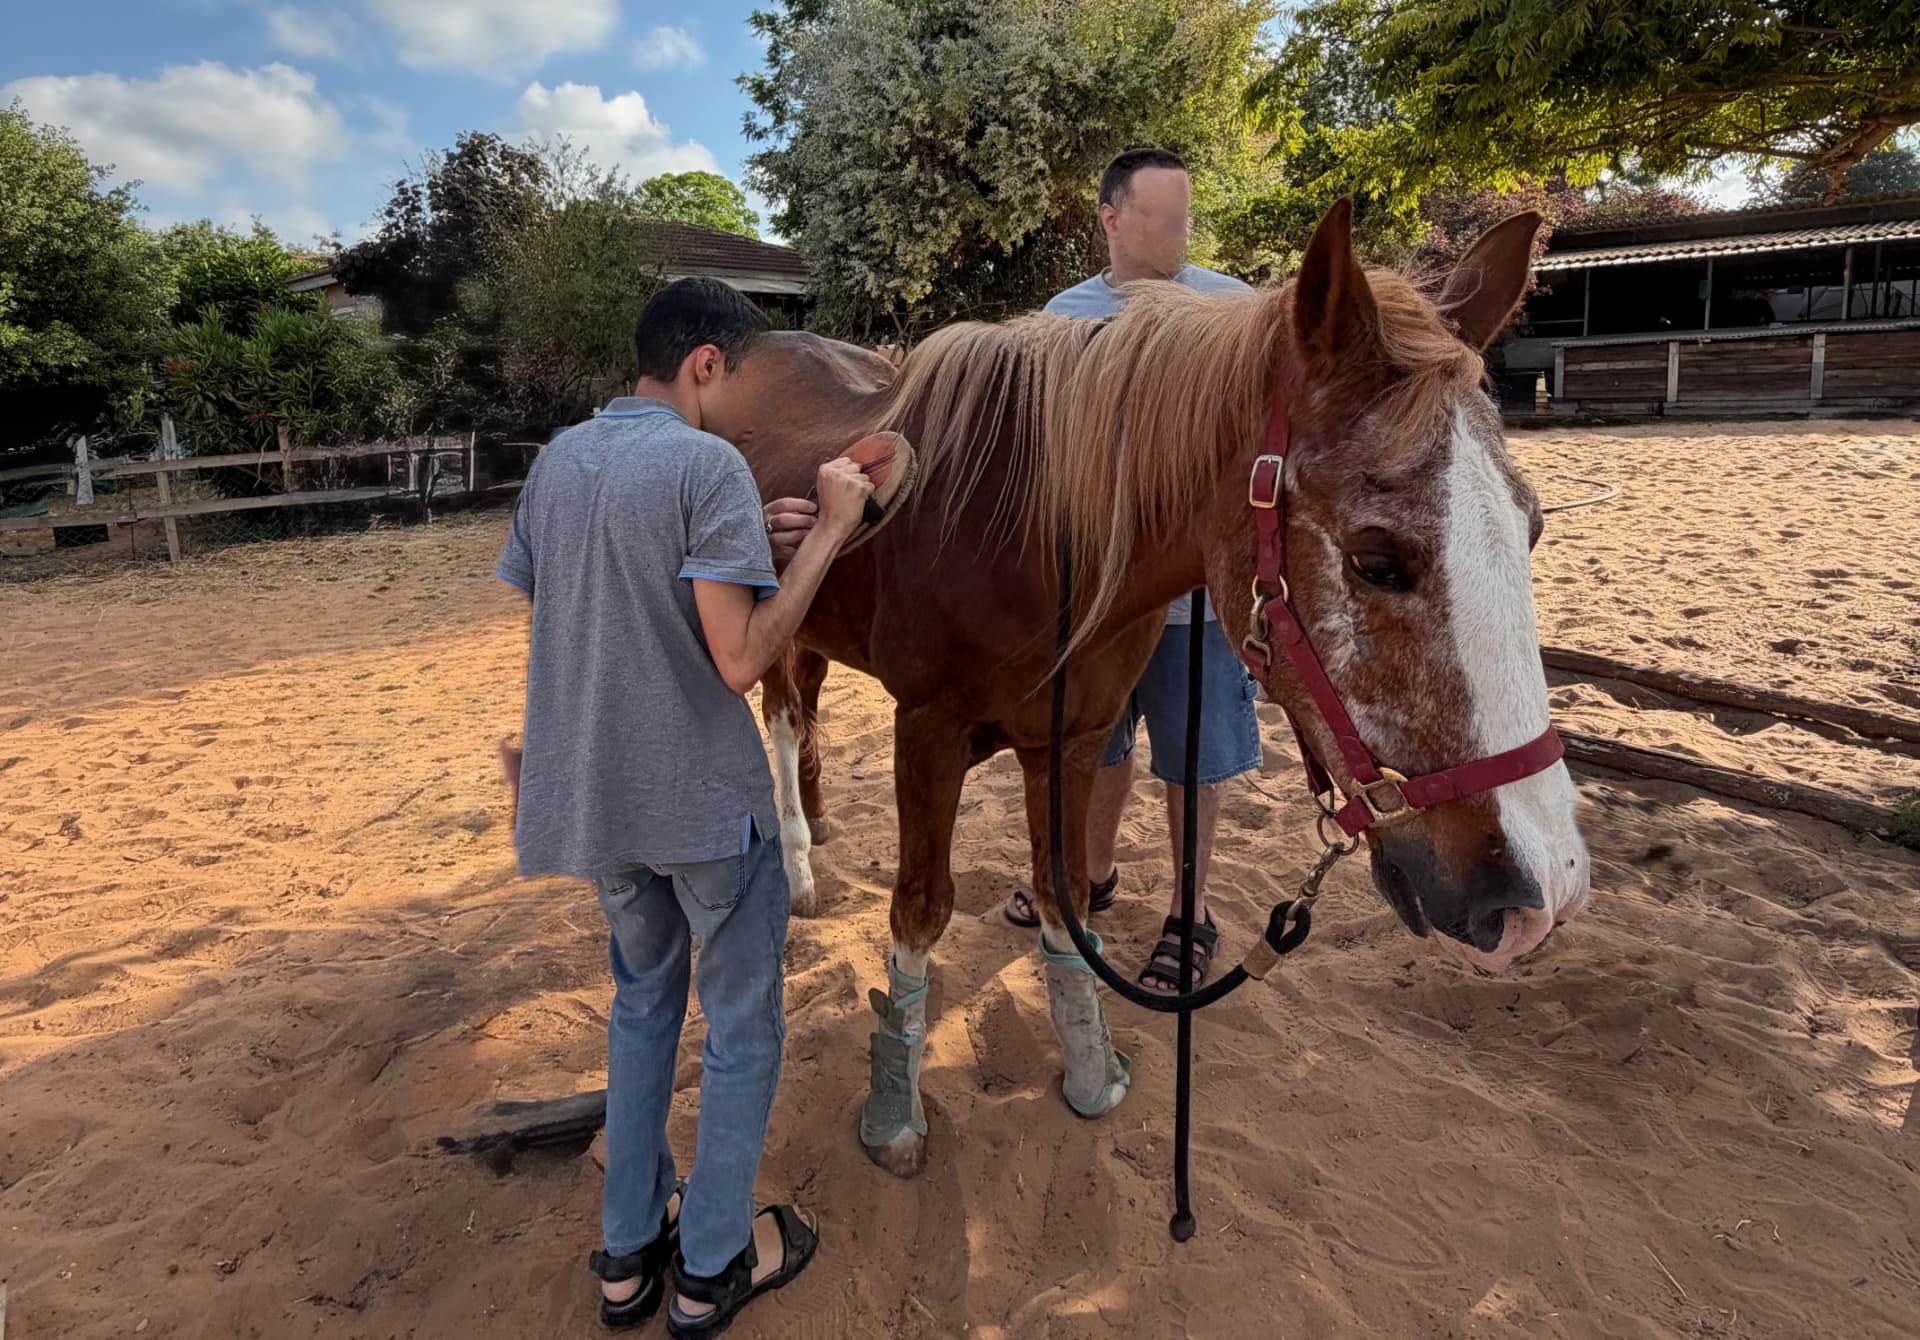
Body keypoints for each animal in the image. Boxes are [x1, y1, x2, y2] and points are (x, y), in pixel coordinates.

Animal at [699, 199, 1592, 1177]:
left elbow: (1064, 900)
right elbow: (921, 911)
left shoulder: (1075, 737)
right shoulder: (927, 733)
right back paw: (796, 864)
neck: (1031, 530)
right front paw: (896, 1110)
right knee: (783, 718)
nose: (1543, 892)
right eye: (1376, 559)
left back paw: (820, 824)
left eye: (1533, 528)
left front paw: (1090, 1070)